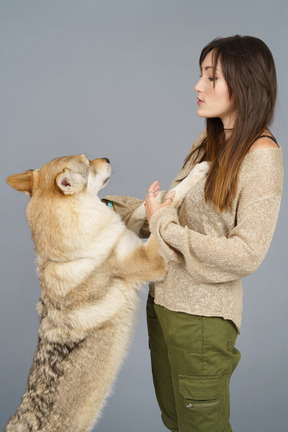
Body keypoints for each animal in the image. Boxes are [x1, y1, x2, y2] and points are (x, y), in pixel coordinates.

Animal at [3, 156, 207, 432]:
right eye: (87, 162)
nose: (107, 159)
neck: (75, 251)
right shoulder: (151, 259)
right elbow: (172, 201)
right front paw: (196, 173)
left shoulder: (125, 235)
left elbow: (140, 212)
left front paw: (156, 194)